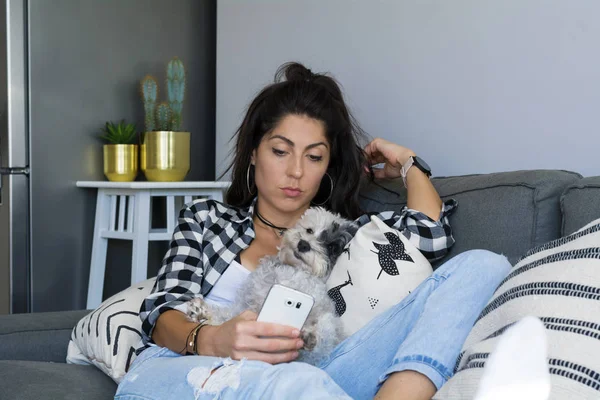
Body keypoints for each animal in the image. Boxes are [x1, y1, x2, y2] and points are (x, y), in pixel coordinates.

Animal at [185, 206, 358, 366]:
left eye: (332, 247)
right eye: (309, 230)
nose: (303, 244)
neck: (292, 271)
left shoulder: (325, 324)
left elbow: (327, 332)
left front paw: (312, 336)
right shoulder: (244, 308)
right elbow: (227, 316)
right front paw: (202, 311)